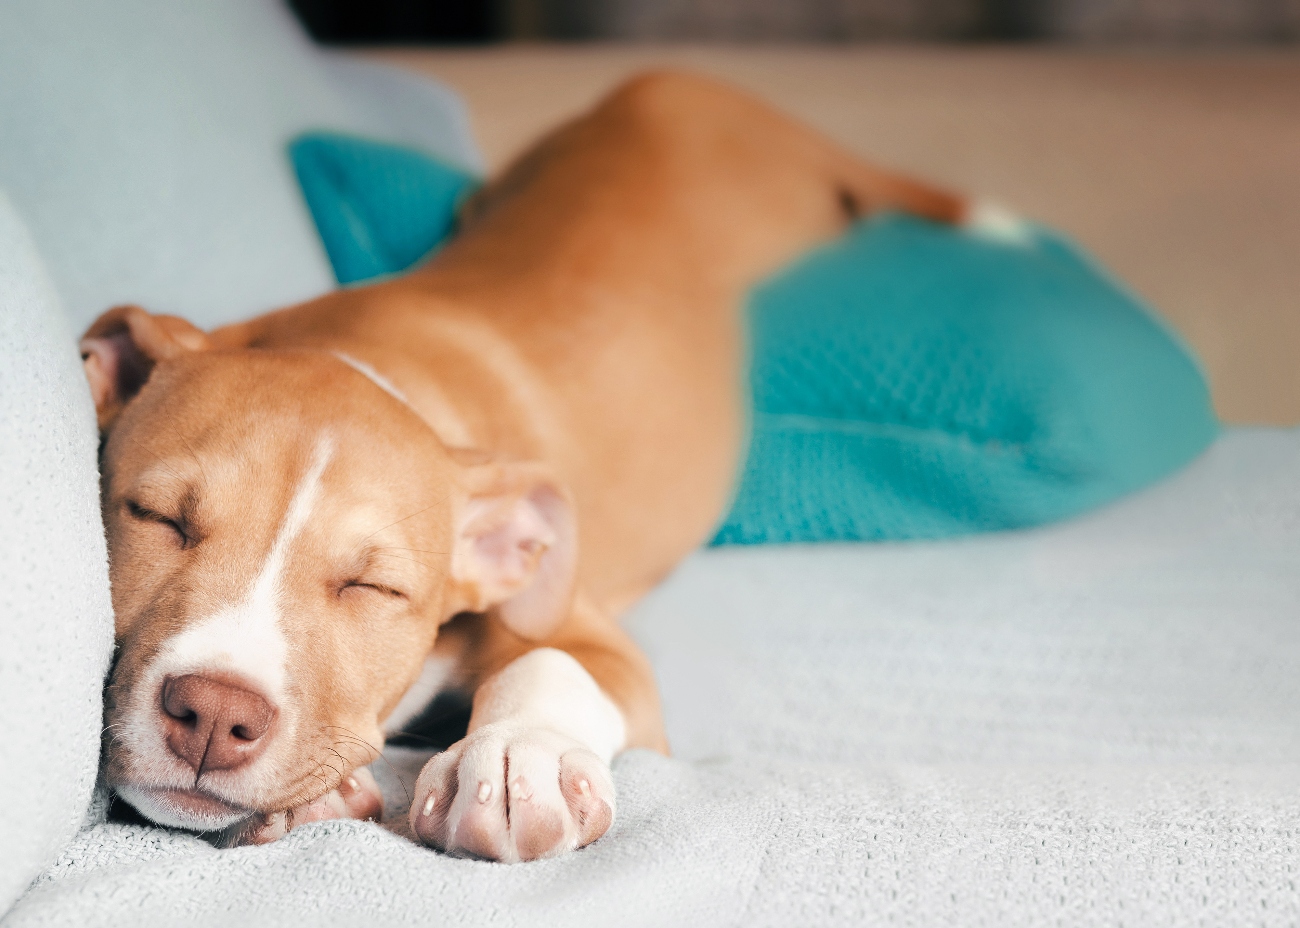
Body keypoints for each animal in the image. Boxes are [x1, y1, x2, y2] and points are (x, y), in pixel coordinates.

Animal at [81, 72, 972, 857]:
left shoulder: (592, 636)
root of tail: (674, 82)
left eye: (372, 588)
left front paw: (517, 760)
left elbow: (549, 658)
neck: (372, 361)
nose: (213, 713)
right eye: (157, 518)